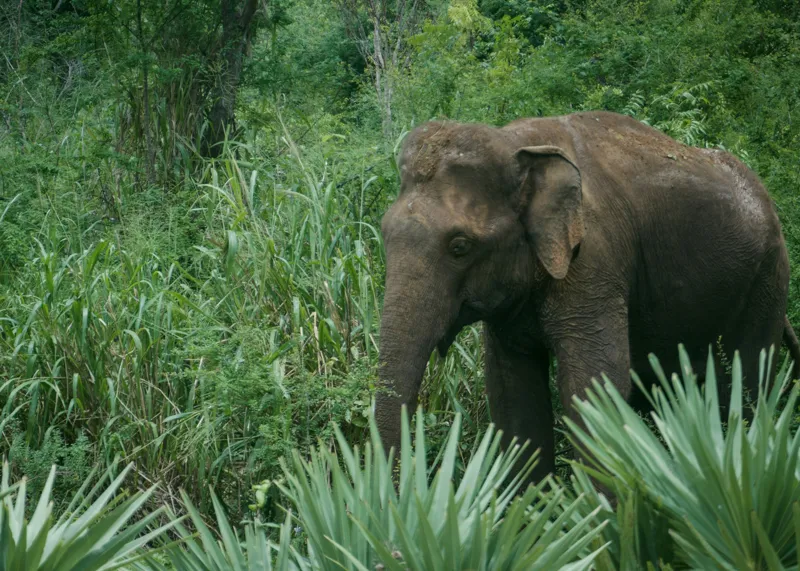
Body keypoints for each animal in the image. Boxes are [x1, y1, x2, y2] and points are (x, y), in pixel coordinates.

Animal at [375, 110, 800, 483]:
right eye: (384, 232)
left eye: (460, 247)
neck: (517, 144)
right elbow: (513, 397)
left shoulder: (594, 263)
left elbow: (594, 388)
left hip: (768, 278)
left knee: (746, 387)